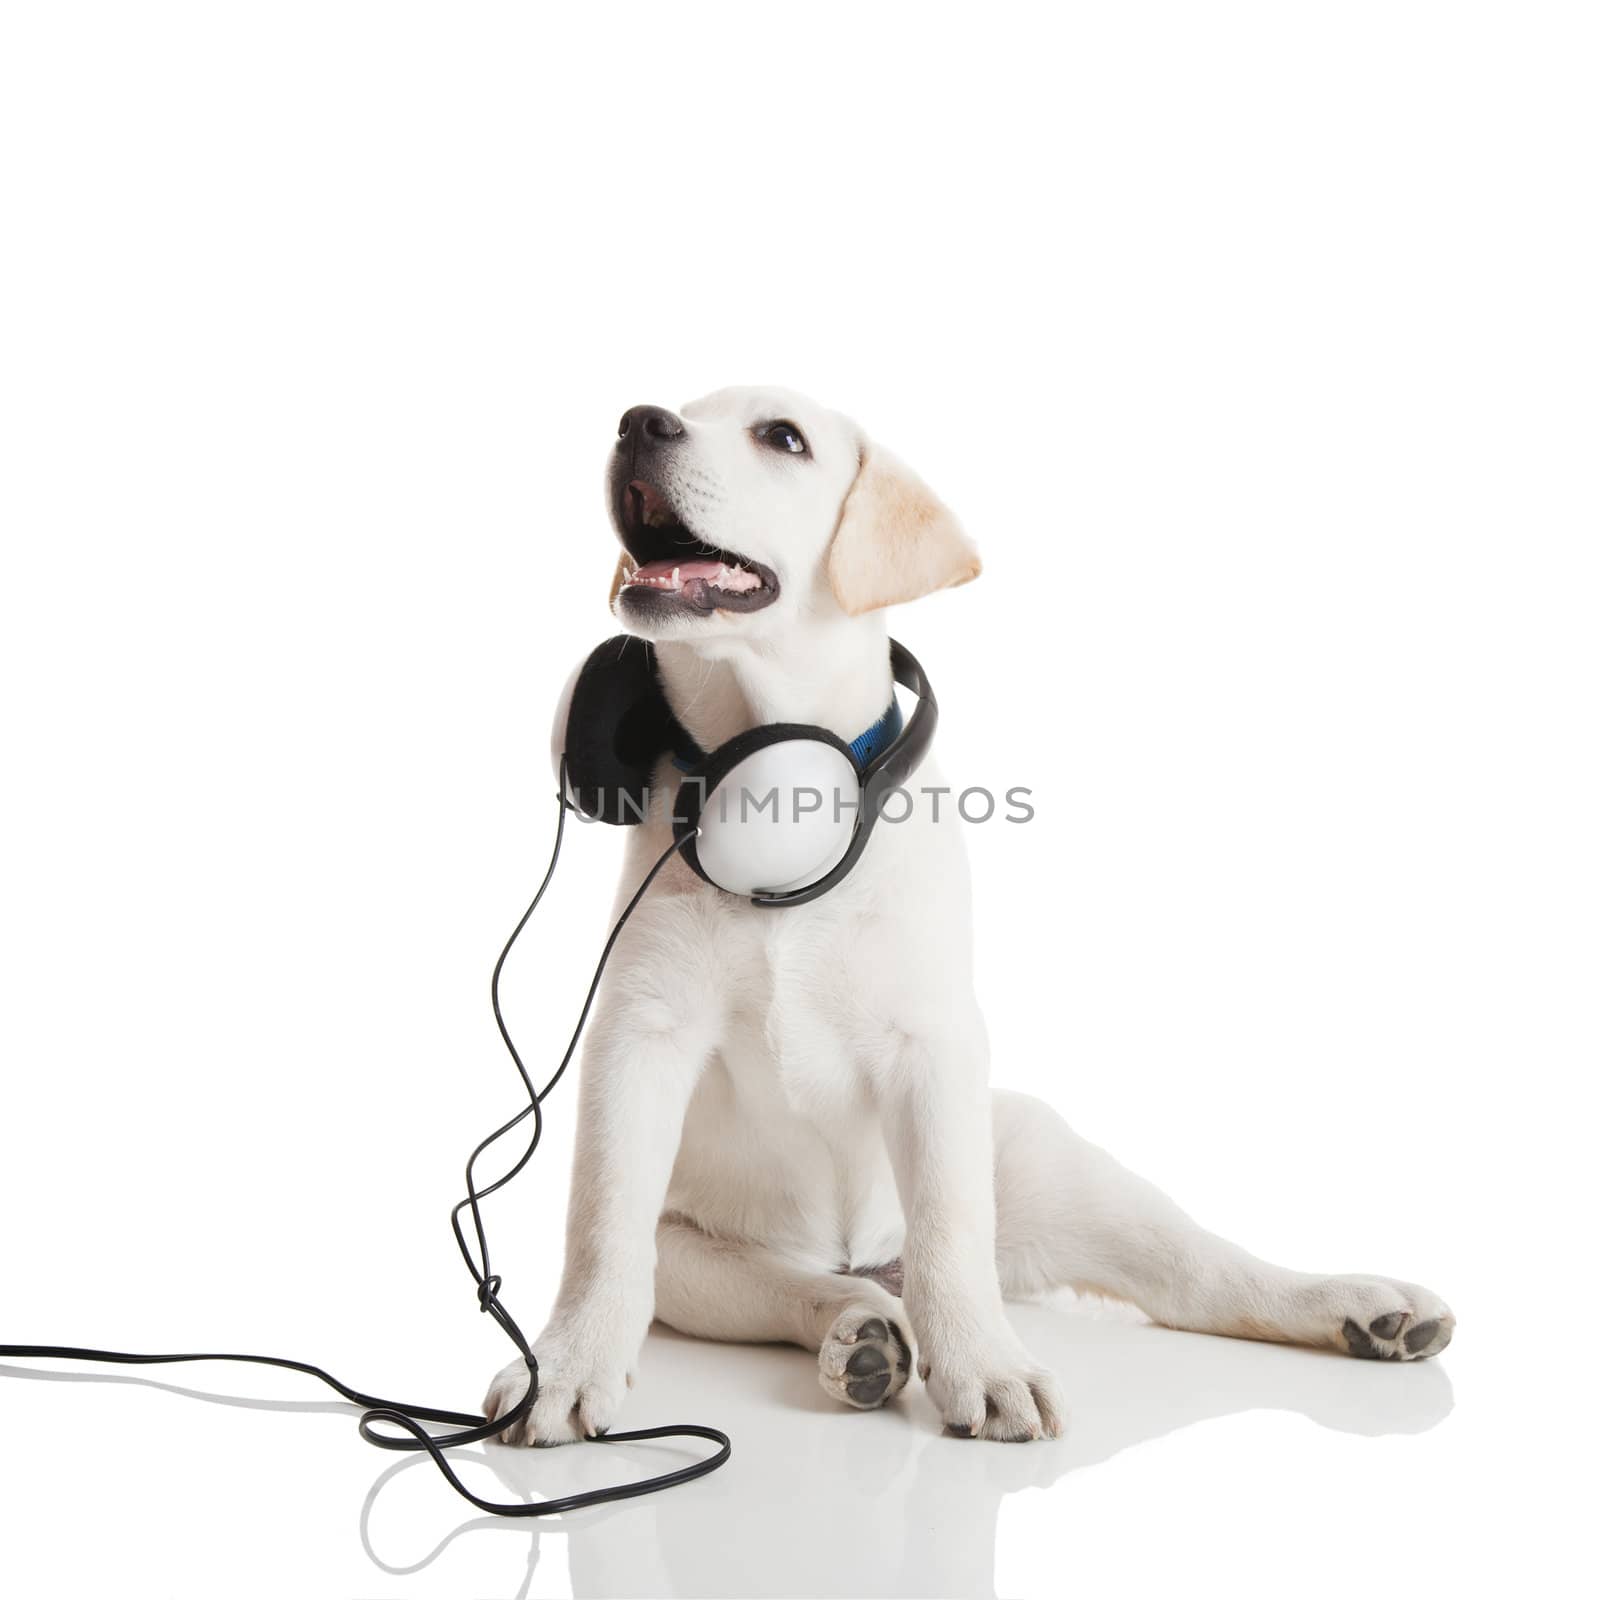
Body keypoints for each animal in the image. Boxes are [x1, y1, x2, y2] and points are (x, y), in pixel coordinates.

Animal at [480, 387, 1459, 1452]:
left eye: (782, 438)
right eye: (679, 408)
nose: (639, 421)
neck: (779, 783)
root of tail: (868, 1255)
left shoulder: (935, 1048)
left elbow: (953, 1225)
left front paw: (984, 1368)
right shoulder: (639, 1035)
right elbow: (601, 1225)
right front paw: (567, 1363)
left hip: (1049, 1162)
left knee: (1194, 1274)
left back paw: (1358, 1308)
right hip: (703, 1264)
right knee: (798, 1290)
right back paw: (866, 1335)